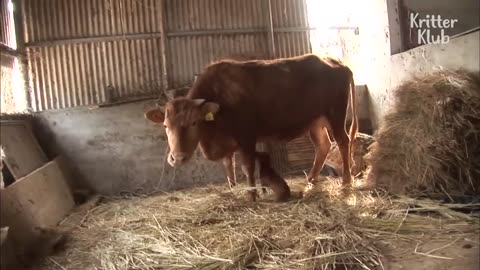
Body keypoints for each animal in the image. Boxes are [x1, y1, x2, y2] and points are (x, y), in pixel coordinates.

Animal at [144, 53, 358, 201]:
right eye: (165, 125)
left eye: (194, 122)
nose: (177, 158)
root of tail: (337, 62)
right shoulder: (227, 141)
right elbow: (228, 164)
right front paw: (232, 189)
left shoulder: (246, 136)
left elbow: (247, 166)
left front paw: (252, 195)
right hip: (315, 121)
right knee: (323, 145)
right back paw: (311, 180)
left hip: (335, 114)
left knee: (343, 141)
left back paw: (346, 182)